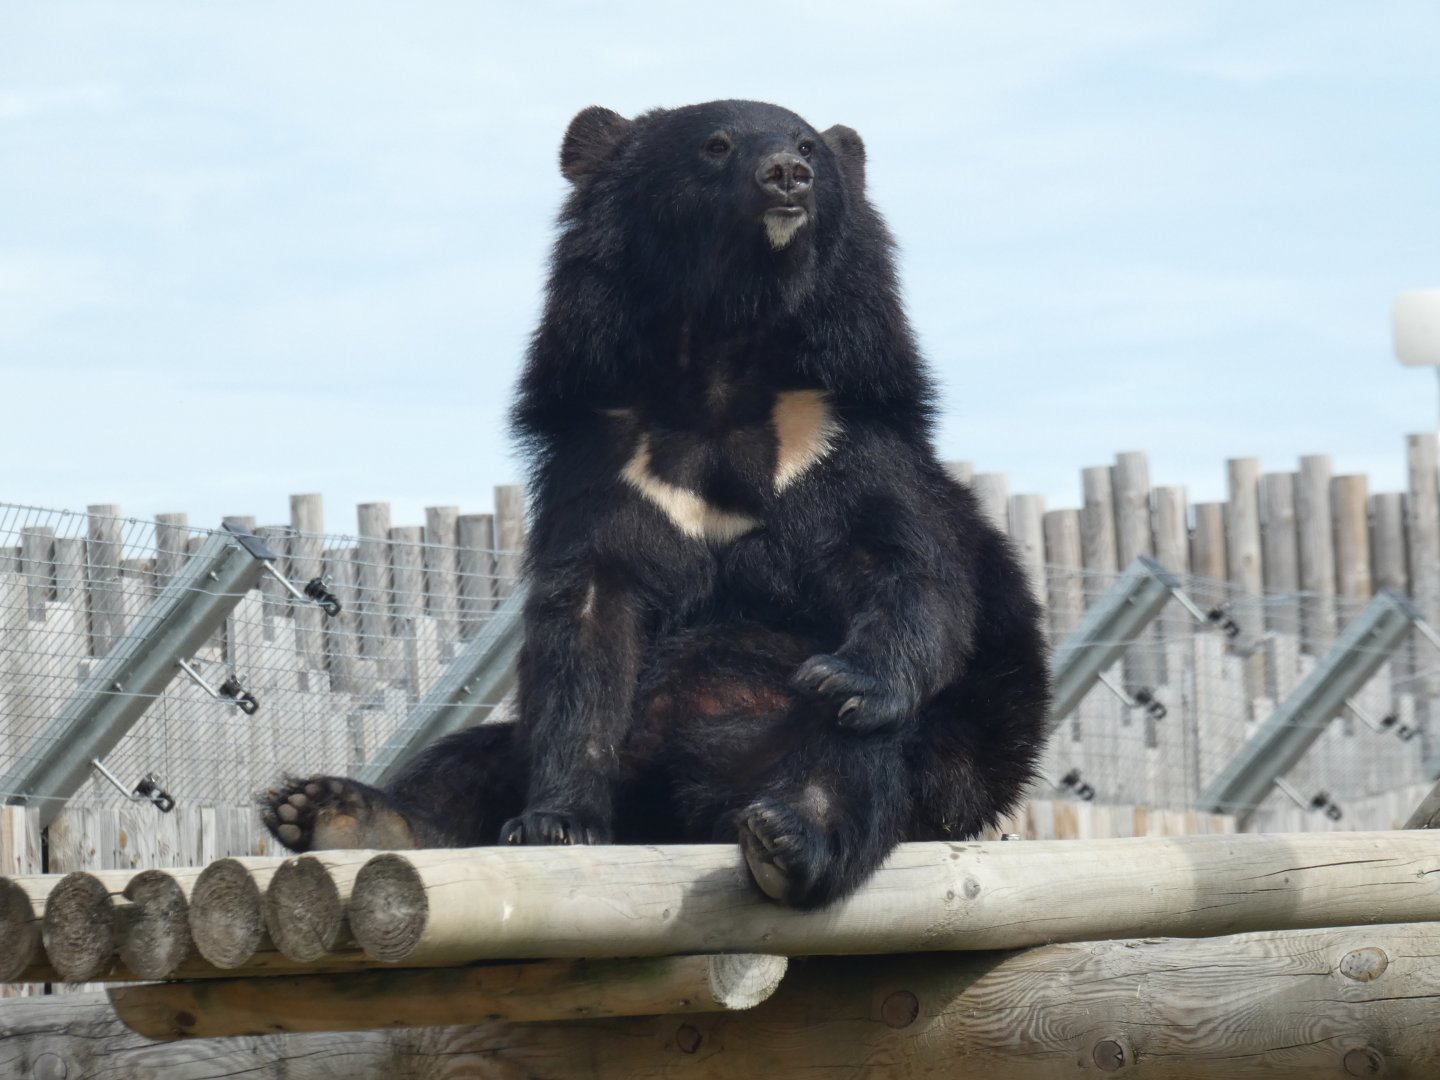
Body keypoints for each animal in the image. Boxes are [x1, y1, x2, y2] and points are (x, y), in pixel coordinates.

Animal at [261, 99, 1051, 909]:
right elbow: (586, 624)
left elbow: (902, 563)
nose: (786, 174)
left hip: (946, 771)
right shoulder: (611, 455)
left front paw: (845, 677)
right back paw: (338, 812)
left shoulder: (841, 432)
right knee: (473, 757)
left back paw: (789, 837)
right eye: (717, 145)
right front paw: (555, 823)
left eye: (808, 147)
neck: (725, 353)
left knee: (867, 751)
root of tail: (687, 808)